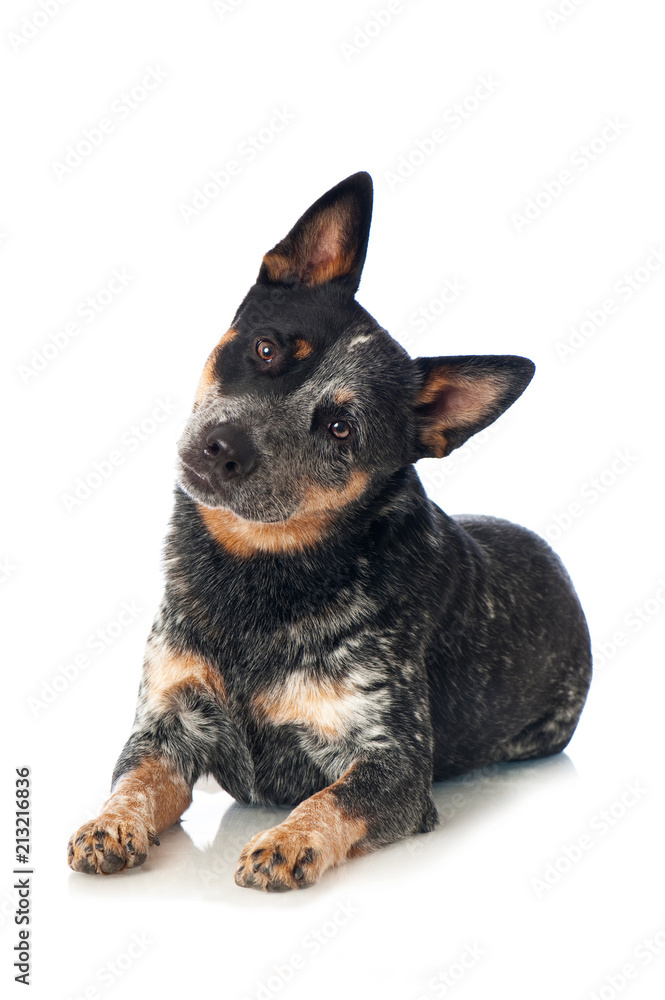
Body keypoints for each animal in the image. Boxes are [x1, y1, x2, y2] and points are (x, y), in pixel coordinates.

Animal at [67, 172, 592, 891]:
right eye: (265, 349)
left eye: (341, 428)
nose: (223, 447)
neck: (252, 577)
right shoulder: (166, 725)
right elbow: (134, 780)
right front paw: (110, 824)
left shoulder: (394, 763)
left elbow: (332, 797)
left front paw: (287, 841)